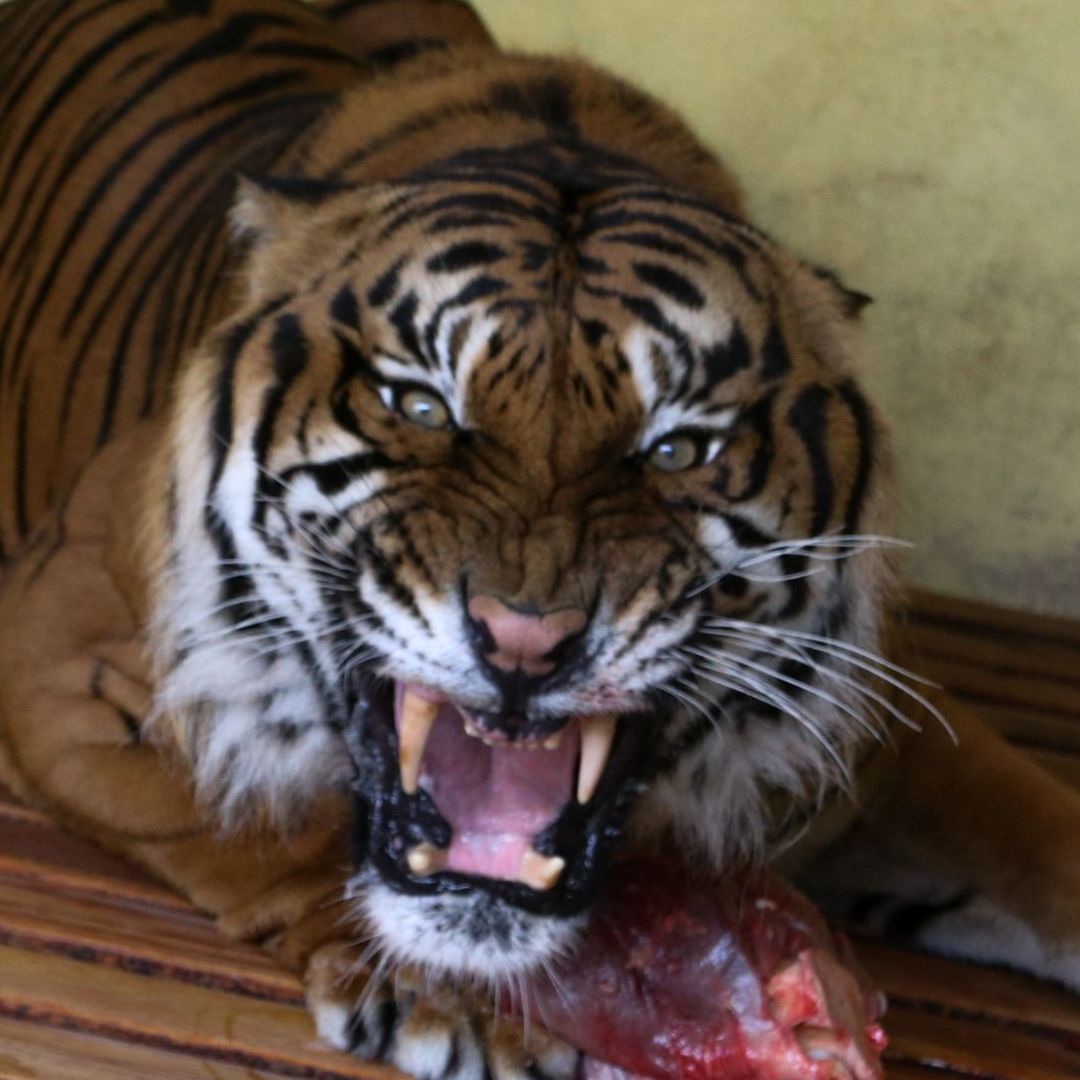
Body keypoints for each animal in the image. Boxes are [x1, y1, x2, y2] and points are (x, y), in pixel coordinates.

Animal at [1, 0, 1079, 1075]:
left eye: (677, 447)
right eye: (420, 405)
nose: (525, 643)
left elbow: (1038, 830)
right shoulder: (64, 649)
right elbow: (293, 818)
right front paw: (462, 999)